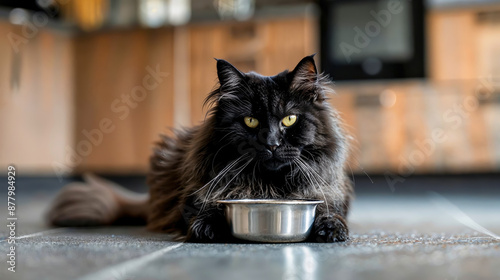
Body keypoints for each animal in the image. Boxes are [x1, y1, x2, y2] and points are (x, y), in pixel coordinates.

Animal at [46, 55, 352, 243]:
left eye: (289, 119)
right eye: (251, 121)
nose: (272, 143)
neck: (269, 185)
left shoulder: (326, 194)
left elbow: (329, 211)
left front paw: (330, 229)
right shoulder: (195, 197)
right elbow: (205, 208)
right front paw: (208, 228)